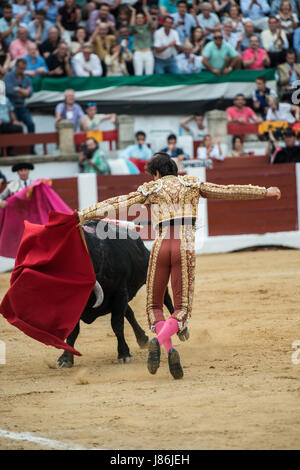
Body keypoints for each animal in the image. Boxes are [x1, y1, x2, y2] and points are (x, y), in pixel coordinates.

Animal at [56, 220, 176, 368]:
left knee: (165, 298)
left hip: (148, 275)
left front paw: (124, 354)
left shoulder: (119, 293)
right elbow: (73, 330)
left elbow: (117, 324)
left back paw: (179, 327)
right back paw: (142, 339)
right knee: (129, 313)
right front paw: (65, 358)